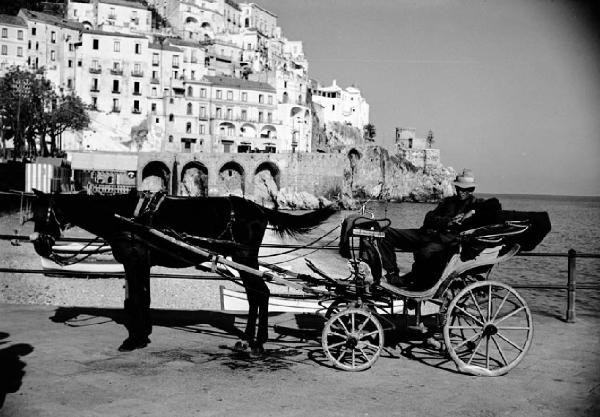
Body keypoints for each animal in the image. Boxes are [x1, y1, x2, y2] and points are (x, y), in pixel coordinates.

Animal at [29, 190, 338, 352]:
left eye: (42, 215)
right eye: (32, 215)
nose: (40, 246)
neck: (124, 217)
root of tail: (258, 207)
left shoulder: (134, 260)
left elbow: (136, 299)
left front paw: (133, 339)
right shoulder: (142, 263)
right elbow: (142, 298)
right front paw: (142, 334)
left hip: (244, 257)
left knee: (259, 293)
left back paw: (257, 342)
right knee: (255, 294)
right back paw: (250, 339)